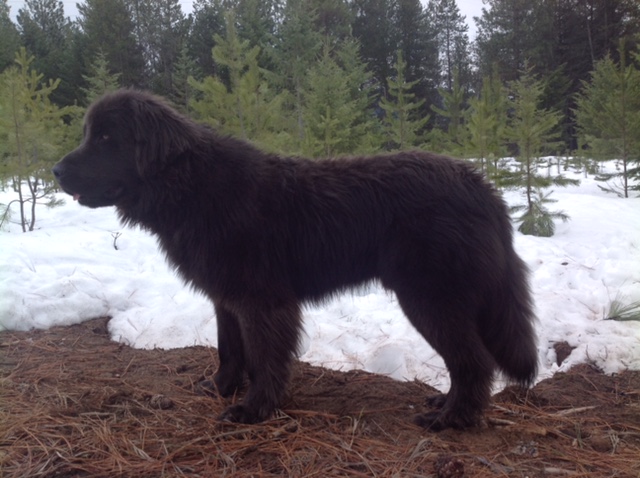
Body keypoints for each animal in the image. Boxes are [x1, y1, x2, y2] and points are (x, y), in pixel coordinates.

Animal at [52, 88, 536, 430]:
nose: (55, 170)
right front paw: (220, 390)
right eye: (89, 134)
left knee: (474, 363)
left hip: (428, 298)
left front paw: (254, 410)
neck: (191, 187)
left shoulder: (262, 303)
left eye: (107, 139)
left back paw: (452, 419)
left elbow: (265, 359)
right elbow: (229, 350)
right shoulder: (227, 299)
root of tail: (482, 186)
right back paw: (445, 403)